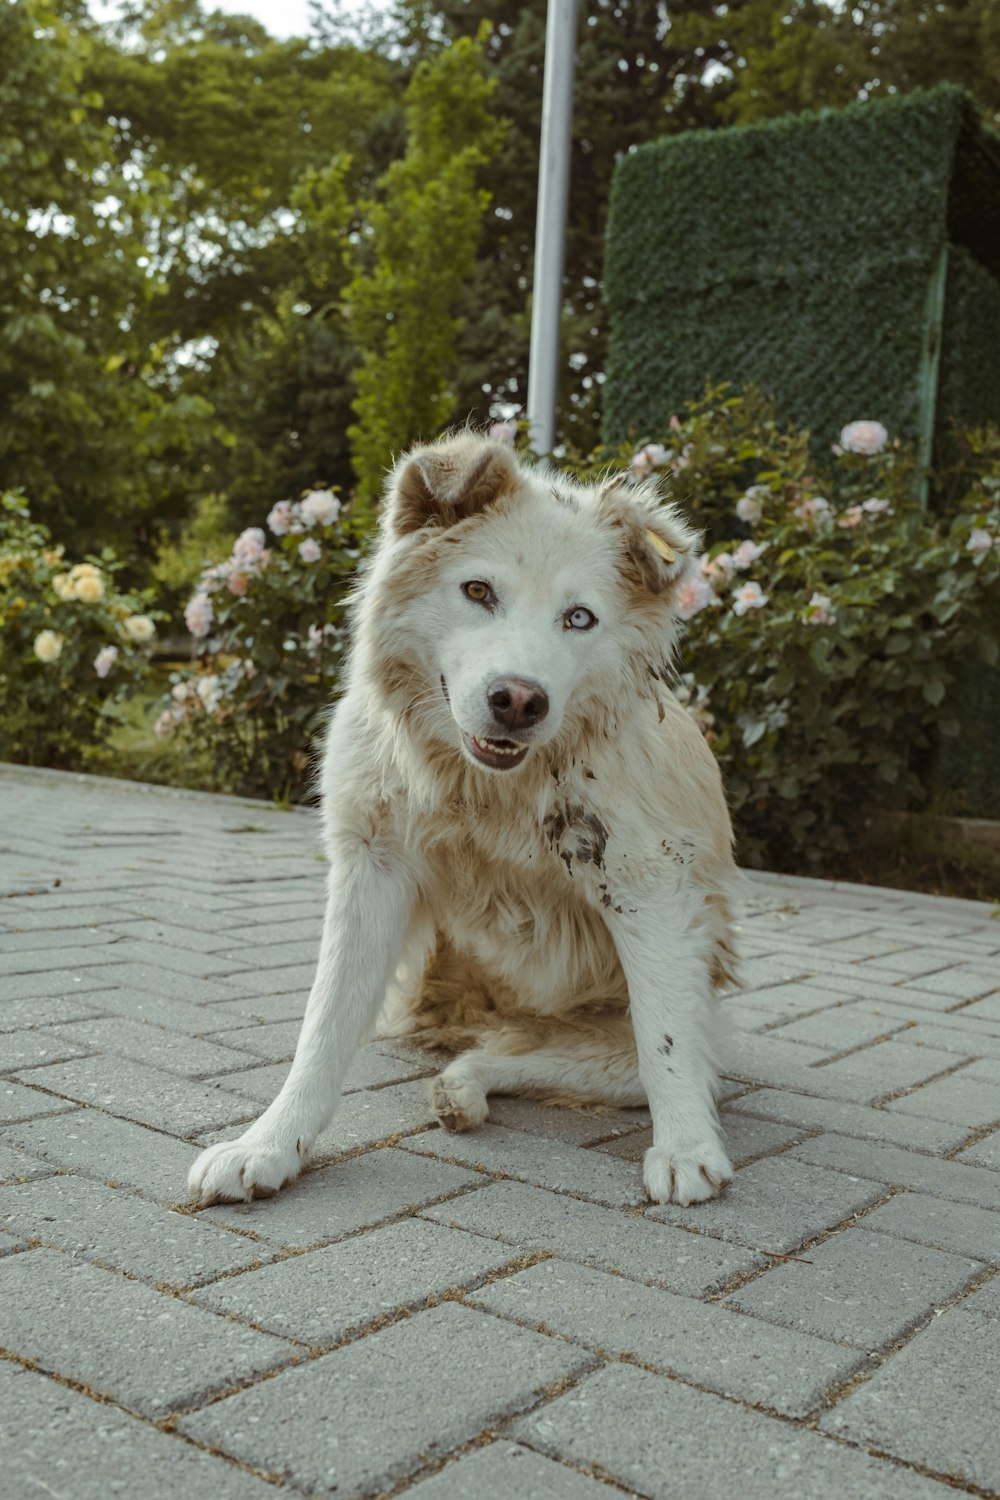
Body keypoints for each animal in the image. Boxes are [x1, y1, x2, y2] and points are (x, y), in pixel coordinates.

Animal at [187, 432, 740, 1206]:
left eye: (579, 618)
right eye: (478, 591)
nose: (519, 701)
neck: (484, 792)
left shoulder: (646, 884)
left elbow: (666, 1040)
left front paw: (688, 1148)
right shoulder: (373, 870)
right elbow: (321, 1029)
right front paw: (269, 1145)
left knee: (536, 1053)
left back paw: (468, 1085)